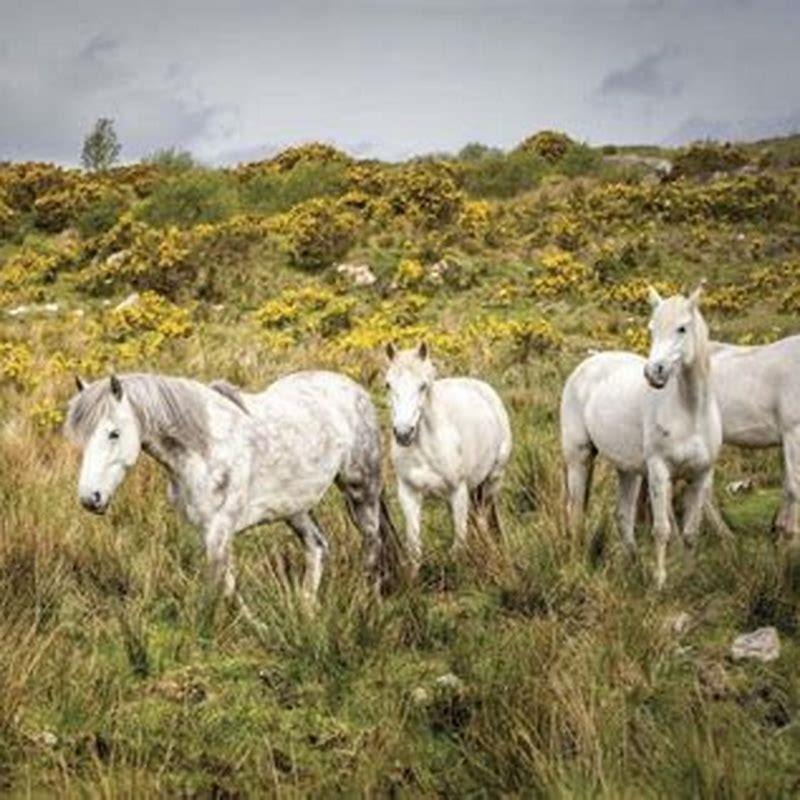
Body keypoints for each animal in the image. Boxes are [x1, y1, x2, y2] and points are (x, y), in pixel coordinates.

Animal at [65, 370, 395, 610]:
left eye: (114, 433)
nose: (90, 498)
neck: (203, 448)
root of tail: (355, 390)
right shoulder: (207, 531)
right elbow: (228, 585)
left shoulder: (219, 530)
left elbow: (219, 589)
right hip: (296, 508)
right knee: (317, 546)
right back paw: (307, 609)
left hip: (361, 491)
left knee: (373, 543)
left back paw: (366, 600)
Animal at [383, 342, 512, 575]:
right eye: (388, 385)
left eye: (422, 386)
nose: (403, 433)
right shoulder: (409, 493)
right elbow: (414, 548)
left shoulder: (458, 491)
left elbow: (458, 546)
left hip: (492, 481)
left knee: (481, 521)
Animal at [561, 283, 721, 588]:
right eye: (652, 328)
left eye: (682, 328)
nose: (653, 372)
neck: (691, 412)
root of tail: (587, 365)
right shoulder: (659, 470)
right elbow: (662, 529)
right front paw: (660, 582)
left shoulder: (701, 474)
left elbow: (690, 532)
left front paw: (690, 575)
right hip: (579, 457)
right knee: (575, 512)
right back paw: (576, 564)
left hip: (628, 470)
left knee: (622, 516)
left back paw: (634, 566)